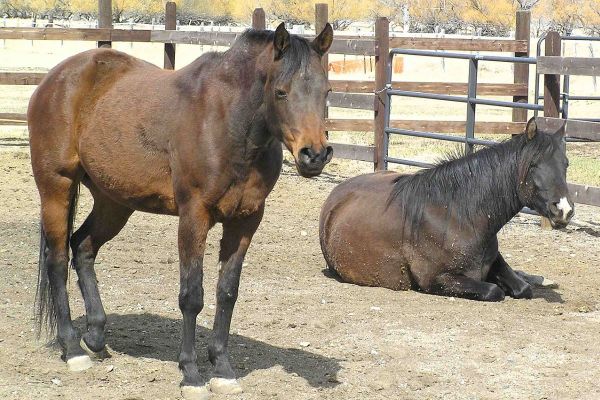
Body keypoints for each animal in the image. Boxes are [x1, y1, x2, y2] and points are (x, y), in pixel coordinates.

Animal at [29, 23, 332, 398]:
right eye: (281, 92)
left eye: (327, 91)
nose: (314, 155)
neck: (229, 122)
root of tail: (54, 78)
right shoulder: (194, 216)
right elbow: (192, 295)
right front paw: (191, 373)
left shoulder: (246, 221)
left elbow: (227, 292)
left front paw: (223, 368)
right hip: (56, 186)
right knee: (56, 261)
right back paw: (72, 349)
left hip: (113, 202)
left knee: (82, 247)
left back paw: (96, 335)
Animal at [322, 120, 576, 302]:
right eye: (533, 164)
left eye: (566, 164)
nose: (563, 209)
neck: (458, 216)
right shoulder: (436, 280)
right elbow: (494, 291)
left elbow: (523, 288)